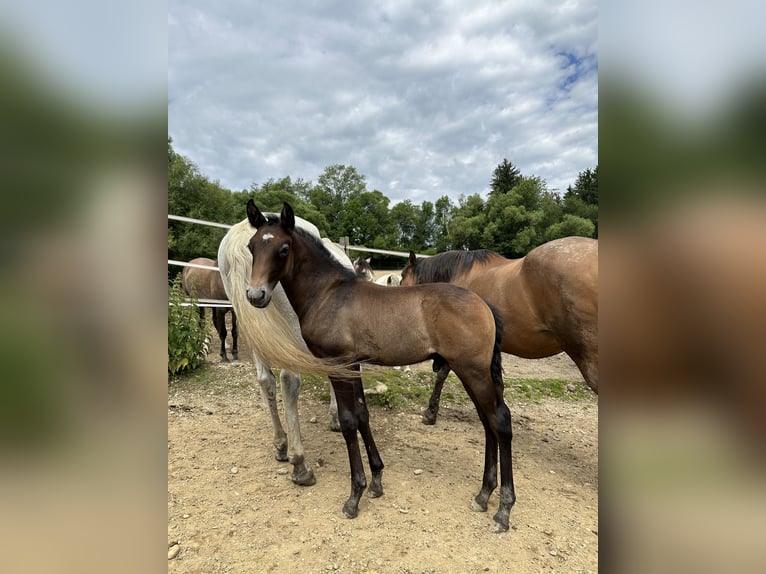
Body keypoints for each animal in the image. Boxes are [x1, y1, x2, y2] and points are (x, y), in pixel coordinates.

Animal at [246, 202, 520, 536]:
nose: (255, 295)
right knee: (487, 421)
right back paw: (483, 496)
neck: (328, 293)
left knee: (500, 421)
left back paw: (503, 510)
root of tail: (484, 304)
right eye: (251, 247)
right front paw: (376, 480)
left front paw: (354, 497)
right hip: (473, 373)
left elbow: (348, 422)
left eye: (283, 248)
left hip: (473, 371)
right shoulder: (354, 364)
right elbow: (363, 414)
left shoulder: (338, 364)